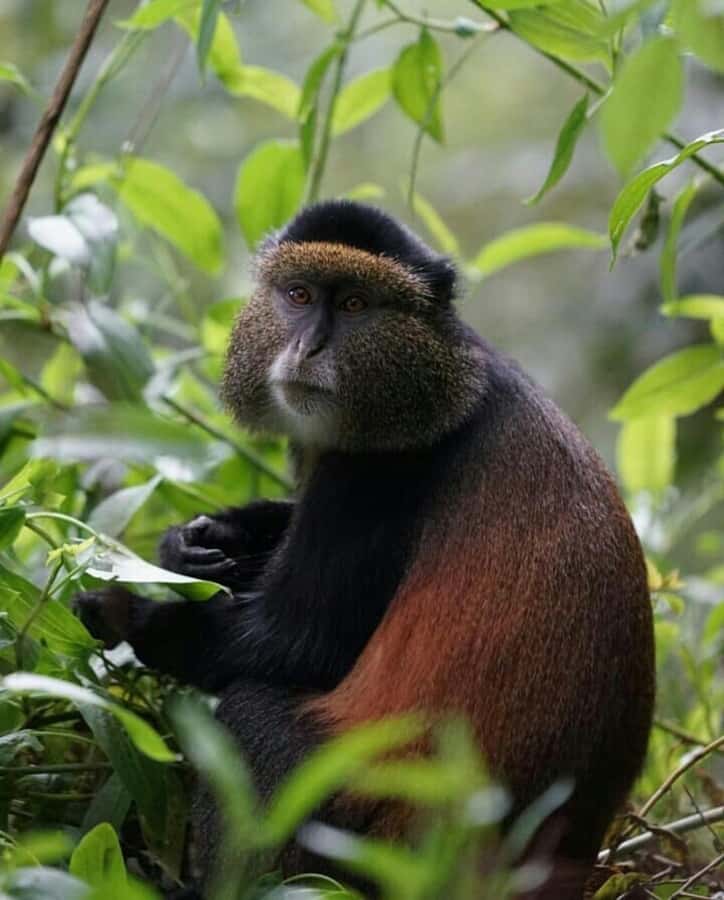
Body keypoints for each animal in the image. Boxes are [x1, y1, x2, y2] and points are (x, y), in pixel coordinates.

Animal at [75, 199, 655, 900]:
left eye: (354, 303)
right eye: (298, 295)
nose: (309, 346)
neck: (437, 383)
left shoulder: (377, 475)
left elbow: (293, 645)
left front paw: (132, 614)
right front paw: (196, 541)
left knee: (251, 715)